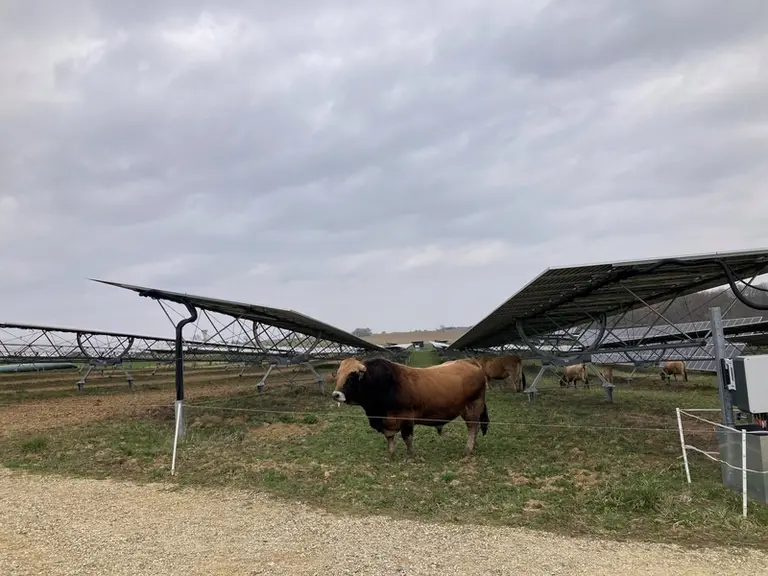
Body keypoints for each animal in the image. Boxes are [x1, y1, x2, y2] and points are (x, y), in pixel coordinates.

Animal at [331, 357, 489, 459]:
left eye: (351, 376)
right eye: (337, 376)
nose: (336, 395)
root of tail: (469, 362)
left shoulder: (406, 418)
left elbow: (407, 438)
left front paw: (412, 456)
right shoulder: (386, 421)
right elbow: (389, 438)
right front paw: (391, 455)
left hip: (472, 407)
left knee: (472, 427)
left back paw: (468, 450)